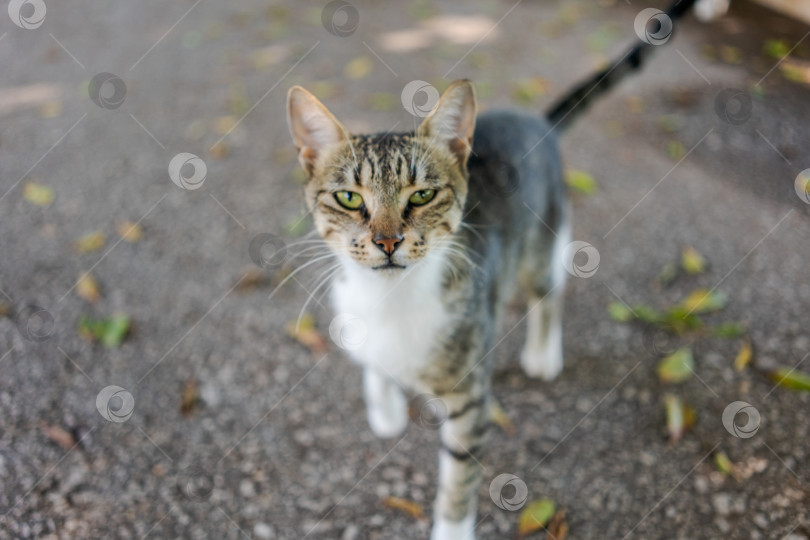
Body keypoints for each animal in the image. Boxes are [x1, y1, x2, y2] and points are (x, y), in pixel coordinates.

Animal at [284, 1, 708, 540]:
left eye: (422, 195)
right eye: (349, 198)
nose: (387, 241)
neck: (390, 300)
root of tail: (536, 121)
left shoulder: (470, 395)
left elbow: (459, 475)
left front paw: (451, 528)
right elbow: (374, 363)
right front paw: (385, 407)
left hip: (541, 242)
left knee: (549, 290)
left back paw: (543, 353)